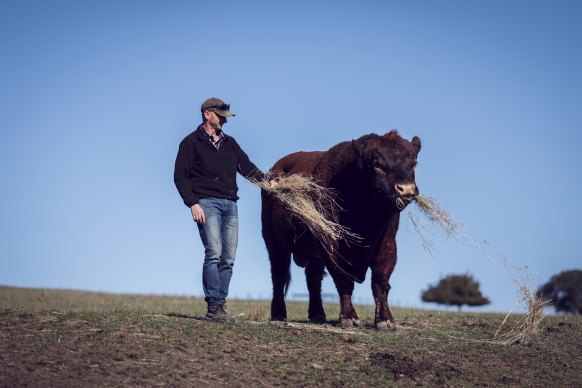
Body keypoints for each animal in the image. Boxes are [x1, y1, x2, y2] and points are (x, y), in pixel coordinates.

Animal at [262, 131, 422, 330]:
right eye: (377, 164)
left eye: (414, 163)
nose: (405, 189)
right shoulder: (331, 244)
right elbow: (343, 280)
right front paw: (349, 318)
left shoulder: (388, 243)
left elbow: (380, 281)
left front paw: (385, 321)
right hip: (273, 242)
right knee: (279, 274)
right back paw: (279, 314)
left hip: (312, 253)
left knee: (313, 278)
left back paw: (317, 315)